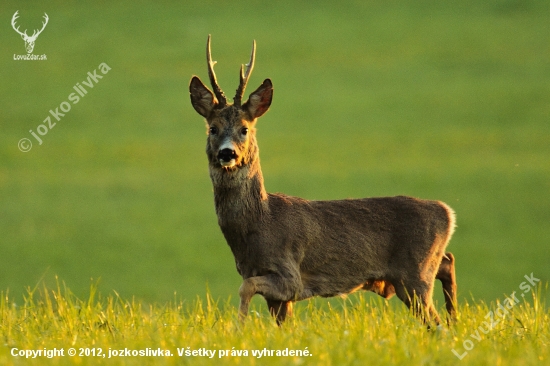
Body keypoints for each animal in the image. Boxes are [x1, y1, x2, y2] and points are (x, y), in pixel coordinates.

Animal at [190, 35, 458, 326]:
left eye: (244, 129)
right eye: (213, 128)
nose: (227, 153)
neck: (260, 222)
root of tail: (447, 213)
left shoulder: (290, 275)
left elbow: (245, 287)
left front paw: (239, 326)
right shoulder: (270, 286)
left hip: (415, 273)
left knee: (435, 319)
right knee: (448, 262)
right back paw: (455, 317)